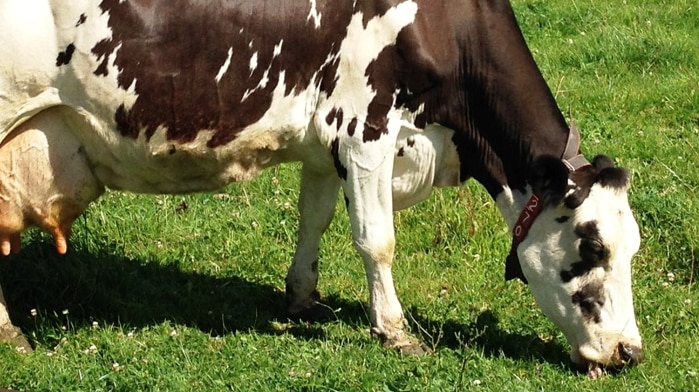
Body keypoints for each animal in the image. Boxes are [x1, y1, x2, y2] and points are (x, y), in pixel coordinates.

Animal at [1, 0, 644, 380]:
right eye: (592, 246)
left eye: (633, 247)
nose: (630, 352)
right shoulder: (365, 128)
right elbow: (376, 240)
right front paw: (395, 331)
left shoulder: (324, 139)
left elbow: (315, 218)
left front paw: (303, 298)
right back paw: (11, 334)